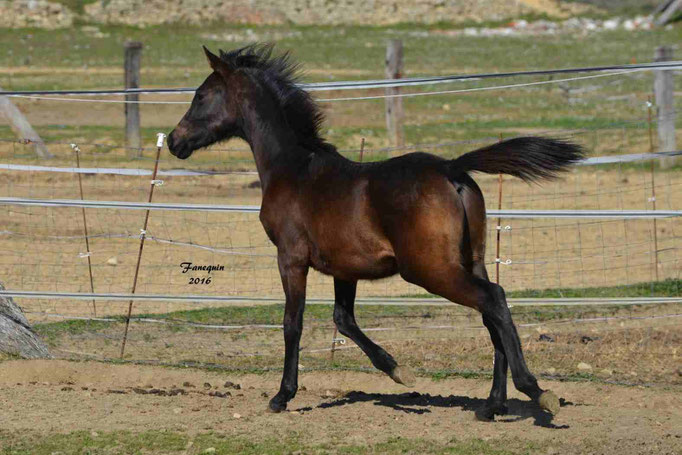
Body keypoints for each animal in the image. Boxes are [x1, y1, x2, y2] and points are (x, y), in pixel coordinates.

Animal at [166, 44, 580, 422]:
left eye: (201, 95)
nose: (173, 141)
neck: (292, 168)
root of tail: (451, 168)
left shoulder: (291, 258)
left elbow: (292, 322)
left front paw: (282, 396)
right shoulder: (344, 268)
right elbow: (343, 320)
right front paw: (398, 370)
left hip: (431, 269)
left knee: (493, 299)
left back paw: (536, 392)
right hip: (471, 259)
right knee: (491, 312)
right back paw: (492, 405)